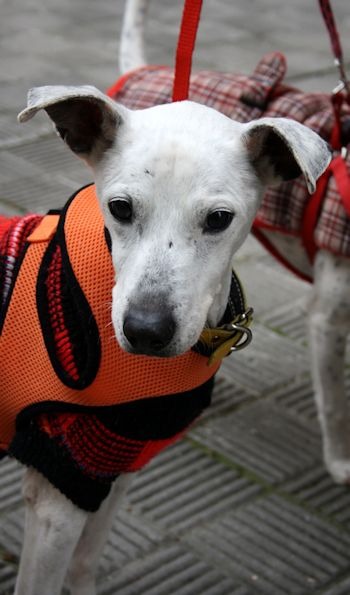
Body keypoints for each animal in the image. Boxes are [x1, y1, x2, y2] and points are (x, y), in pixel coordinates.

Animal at [8, 1, 330, 595]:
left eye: (220, 219)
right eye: (119, 208)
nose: (146, 331)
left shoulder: (111, 472)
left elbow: (85, 565)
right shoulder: (57, 495)